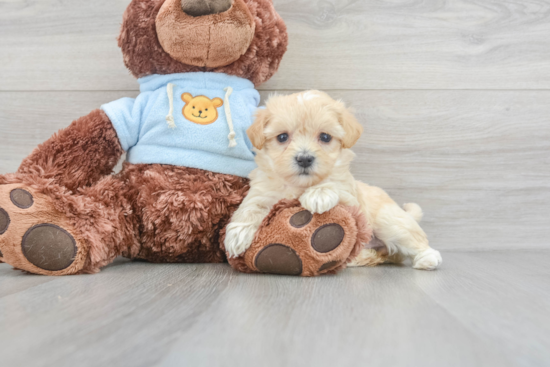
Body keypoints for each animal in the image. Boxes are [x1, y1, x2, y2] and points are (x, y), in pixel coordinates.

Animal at [224, 92, 444, 270]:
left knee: (413, 241)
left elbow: (334, 184)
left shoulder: (350, 196)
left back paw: (428, 258)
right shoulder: (262, 190)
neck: (299, 185)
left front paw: (318, 195)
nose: (304, 159)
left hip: (389, 221)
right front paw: (237, 234)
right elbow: (251, 206)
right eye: (283, 137)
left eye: (325, 137)